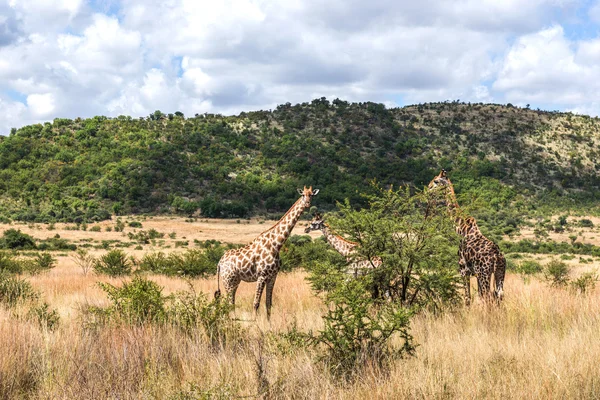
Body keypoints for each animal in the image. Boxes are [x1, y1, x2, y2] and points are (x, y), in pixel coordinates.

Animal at [214, 185, 318, 318]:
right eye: (303, 195)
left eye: (312, 195)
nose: (308, 204)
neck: (276, 244)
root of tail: (219, 263)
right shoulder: (262, 276)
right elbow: (256, 303)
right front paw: (255, 322)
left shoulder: (273, 276)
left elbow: (268, 304)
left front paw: (269, 322)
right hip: (228, 280)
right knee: (228, 303)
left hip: (235, 280)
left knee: (230, 303)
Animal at [428, 170, 504, 306]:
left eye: (436, 181)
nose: (428, 188)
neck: (462, 229)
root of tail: (497, 256)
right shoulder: (475, 273)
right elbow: (477, 296)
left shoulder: (463, 269)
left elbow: (468, 298)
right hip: (499, 272)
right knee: (499, 295)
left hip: (485, 273)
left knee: (488, 296)